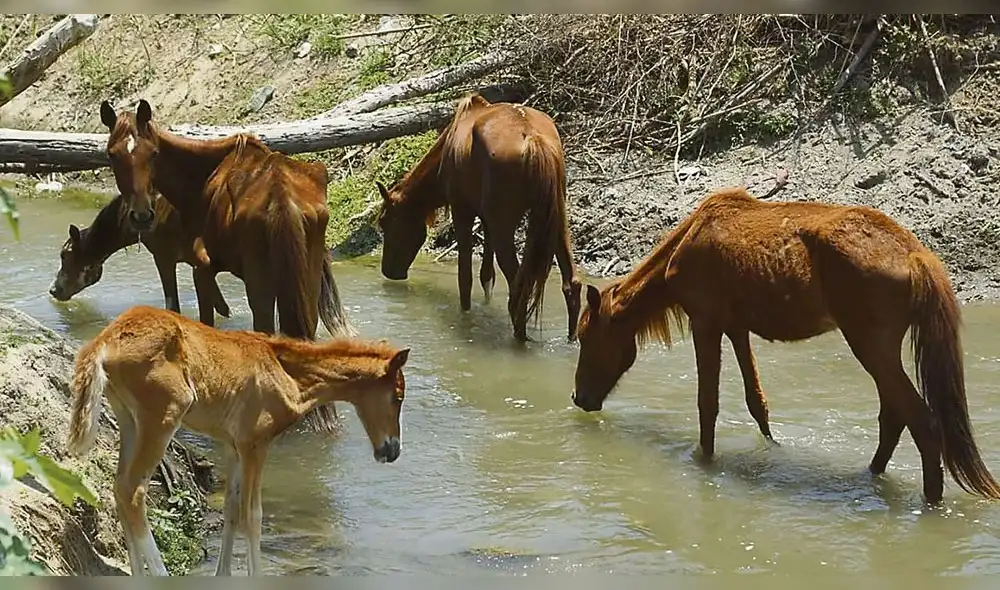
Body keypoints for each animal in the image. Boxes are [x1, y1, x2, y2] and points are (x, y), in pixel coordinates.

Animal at [49, 192, 231, 326]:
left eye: (64, 254)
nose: (53, 290)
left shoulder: (165, 258)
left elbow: (174, 308)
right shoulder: (200, 265)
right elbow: (222, 307)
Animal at [66, 305, 410, 576]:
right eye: (397, 397)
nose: (392, 450)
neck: (287, 374)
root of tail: (105, 339)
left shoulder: (232, 447)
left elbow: (231, 510)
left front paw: (225, 574)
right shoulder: (255, 445)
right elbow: (253, 515)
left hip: (129, 420)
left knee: (118, 488)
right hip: (162, 419)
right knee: (132, 491)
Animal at [375, 92, 582, 343]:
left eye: (385, 222)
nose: (389, 271)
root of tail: (533, 139)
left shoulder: (462, 210)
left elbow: (465, 279)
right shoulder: (486, 218)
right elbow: (487, 275)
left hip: (506, 225)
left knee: (519, 288)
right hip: (555, 216)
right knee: (570, 282)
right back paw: (572, 339)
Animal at [571, 186, 1000, 505]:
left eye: (586, 337)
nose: (580, 397)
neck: (685, 248)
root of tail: (916, 255)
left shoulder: (705, 323)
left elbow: (708, 404)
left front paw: (704, 462)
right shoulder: (736, 328)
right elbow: (755, 401)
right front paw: (770, 449)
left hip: (871, 345)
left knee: (922, 423)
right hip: (879, 350)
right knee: (894, 419)